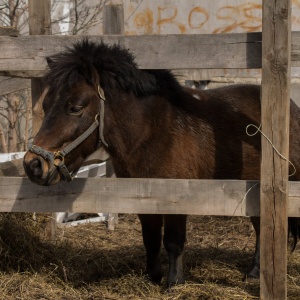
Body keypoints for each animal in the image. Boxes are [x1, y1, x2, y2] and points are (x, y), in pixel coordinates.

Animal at [22, 39, 300, 286]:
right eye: (45, 105)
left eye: (76, 107)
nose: (33, 165)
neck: (152, 133)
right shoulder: (144, 198)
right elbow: (151, 239)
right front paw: (153, 276)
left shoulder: (176, 198)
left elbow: (173, 242)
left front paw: (174, 281)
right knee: (261, 228)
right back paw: (254, 272)